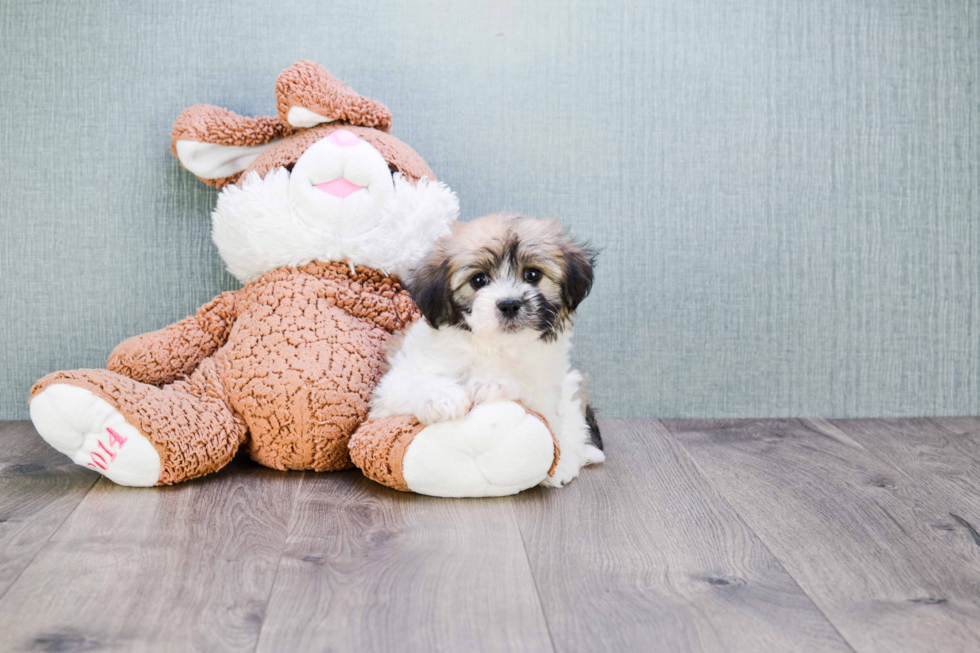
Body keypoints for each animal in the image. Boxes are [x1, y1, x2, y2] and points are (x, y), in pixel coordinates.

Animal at [370, 211, 604, 486]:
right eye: (479, 280)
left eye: (532, 275)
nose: (510, 304)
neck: (494, 346)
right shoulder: (388, 392)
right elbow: (411, 383)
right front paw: (442, 398)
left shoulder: (548, 385)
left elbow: (528, 389)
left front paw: (491, 383)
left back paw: (565, 463)